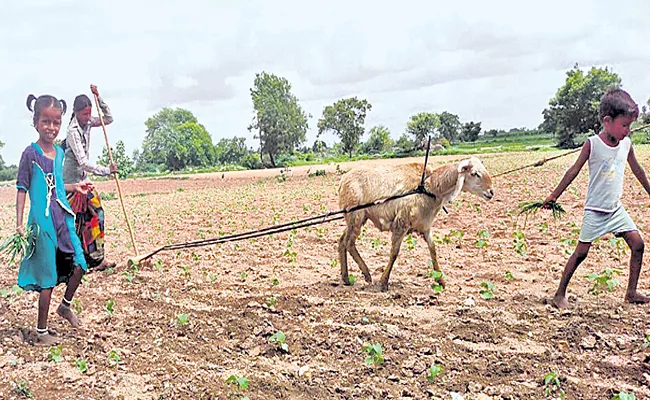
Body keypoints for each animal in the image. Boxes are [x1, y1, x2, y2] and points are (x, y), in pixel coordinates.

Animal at [336, 155, 494, 290]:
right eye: (474, 173)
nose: (491, 192)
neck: (429, 187)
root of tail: (343, 180)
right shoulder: (401, 223)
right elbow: (394, 253)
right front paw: (384, 282)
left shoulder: (425, 226)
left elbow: (433, 250)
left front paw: (441, 280)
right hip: (355, 215)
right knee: (349, 243)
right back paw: (366, 274)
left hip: (358, 218)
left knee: (342, 240)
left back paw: (346, 277)